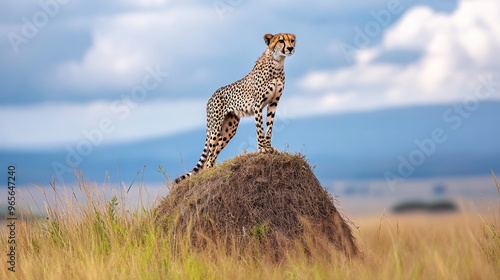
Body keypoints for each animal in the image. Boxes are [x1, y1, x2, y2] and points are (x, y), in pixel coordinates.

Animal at [175, 32, 294, 184]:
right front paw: (262, 149)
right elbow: (260, 129)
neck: (277, 62)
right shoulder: (257, 105)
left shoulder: (273, 103)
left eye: (292, 40)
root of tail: (210, 97)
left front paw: (269, 147)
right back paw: (208, 173)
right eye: (280, 41)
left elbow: (269, 127)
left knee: (213, 155)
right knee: (208, 158)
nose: (290, 48)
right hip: (215, 128)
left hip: (229, 128)